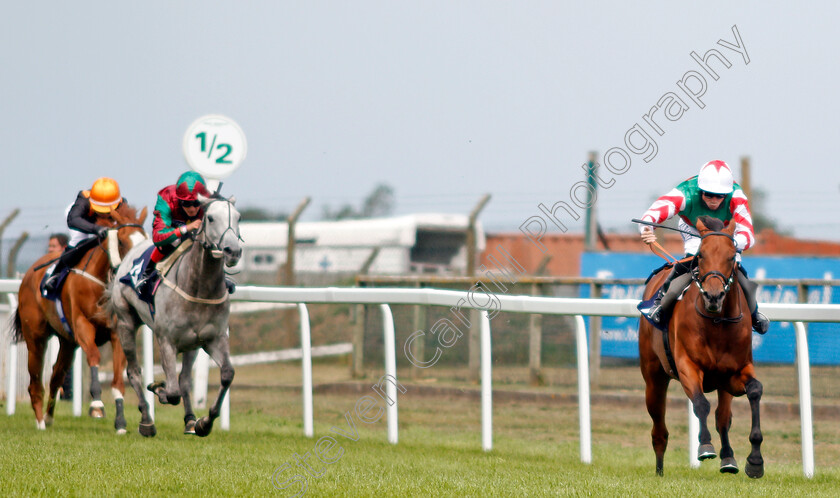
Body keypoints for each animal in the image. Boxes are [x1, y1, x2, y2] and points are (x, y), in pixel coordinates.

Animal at [11, 202, 148, 432]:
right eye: (121, 240)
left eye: (145, 239)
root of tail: (28, 273)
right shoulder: (83, 325)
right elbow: (94, 356)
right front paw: (97, 405)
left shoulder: (117, 333)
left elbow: (118, 381)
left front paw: (120, 422)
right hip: (35, 338)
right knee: (35, 382)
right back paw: (40, 422)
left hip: (67, 343)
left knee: (56, 377)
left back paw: (48, 417)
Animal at [104, 195, 241, 436]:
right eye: (210, 218)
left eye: (238, 217)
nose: (232, 251)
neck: (199, 287)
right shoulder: (166, 339)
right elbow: (172, 392)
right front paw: (158, 388)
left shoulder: (213, 338)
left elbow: (226, 374)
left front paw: (204, 423)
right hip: (125, 322)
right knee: (134, 372)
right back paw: (146, 421)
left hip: (191, 344)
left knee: (184, 380)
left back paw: (190, 420)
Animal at [640, 217, 764, 478]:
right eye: (701, 254)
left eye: (731, 256)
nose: (713, 296)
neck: (717, 322)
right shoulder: (688, 366)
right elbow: (700, 403)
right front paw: (705, 446)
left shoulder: (733, 373)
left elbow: (754, 391)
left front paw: (755, 461)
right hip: (653, 378)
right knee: (659, 427)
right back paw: (659, 470)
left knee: (723, 417)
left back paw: (728, 459)